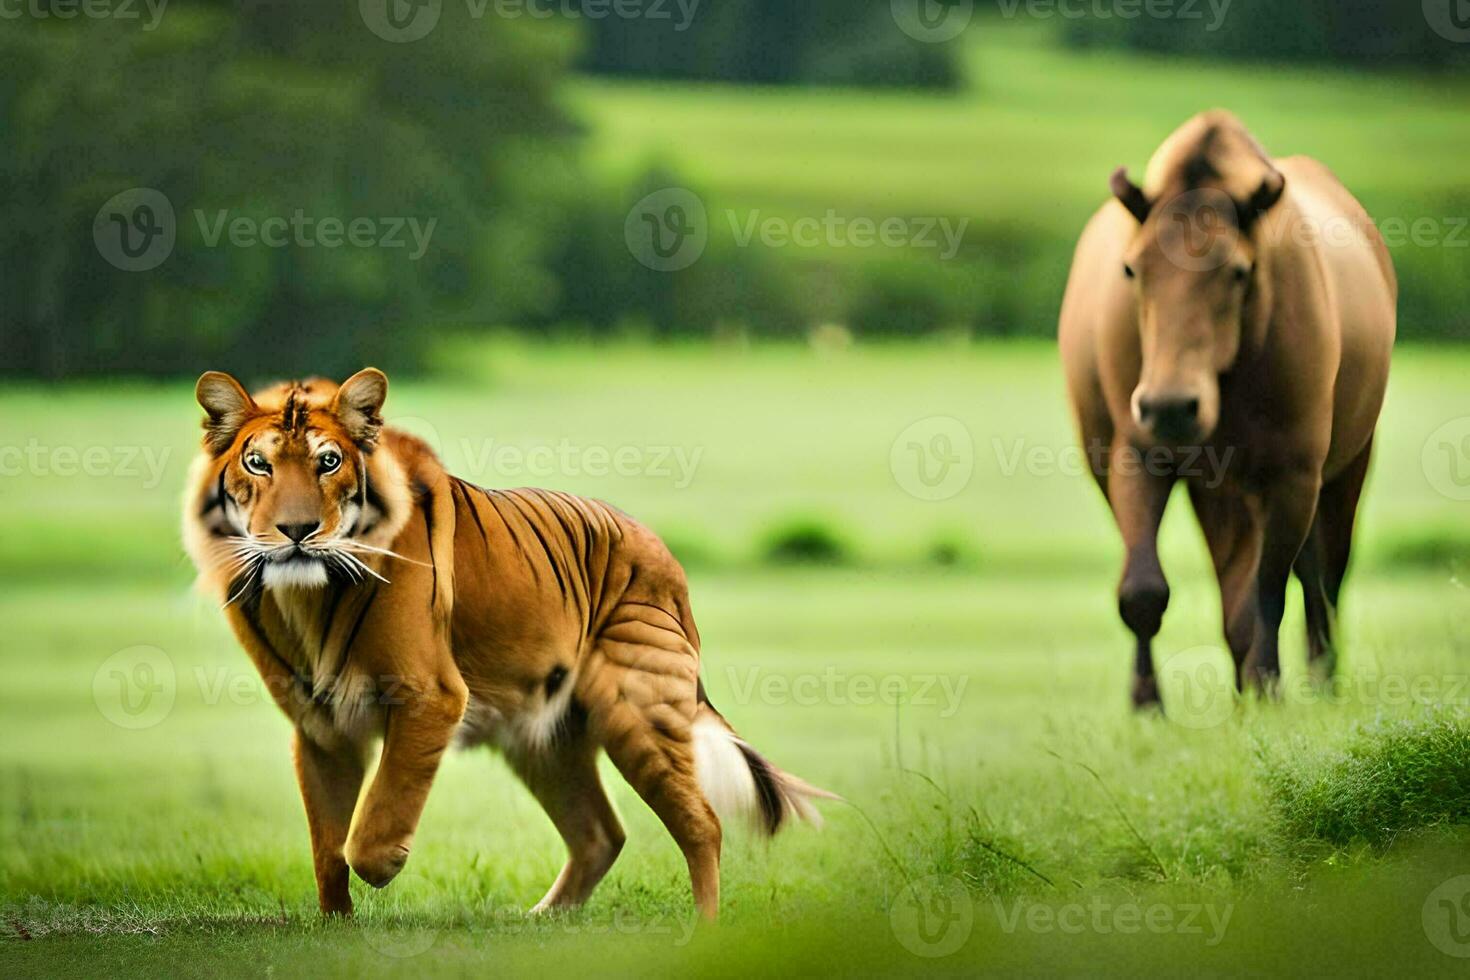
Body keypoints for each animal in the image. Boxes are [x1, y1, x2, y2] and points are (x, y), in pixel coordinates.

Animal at [177, 367, 834, 922]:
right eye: (258, 464)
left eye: (329, 461)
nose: (296, 531)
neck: (303, 598)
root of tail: (660, 549)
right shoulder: (319, 725)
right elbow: (326, 844)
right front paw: (337, 930)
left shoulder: (431, 695)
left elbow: (371, 825)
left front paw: (386, 866)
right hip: (545, 739)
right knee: (601, 832)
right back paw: (541, 921)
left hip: (639, 711)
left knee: (702, 823)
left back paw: (703, 933)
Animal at [1064, 110, 1393, 705]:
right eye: (1132, 270)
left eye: (1238, 272)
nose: (1171, 406)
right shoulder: (1138, 457)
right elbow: (1143, 591)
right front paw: (1147, 705)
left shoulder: (1292, 477)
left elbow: (1267, 594)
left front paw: (1268, 694)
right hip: (1218, 492)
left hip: (1344, 468)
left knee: (1326, 576)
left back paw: (1318, 682)